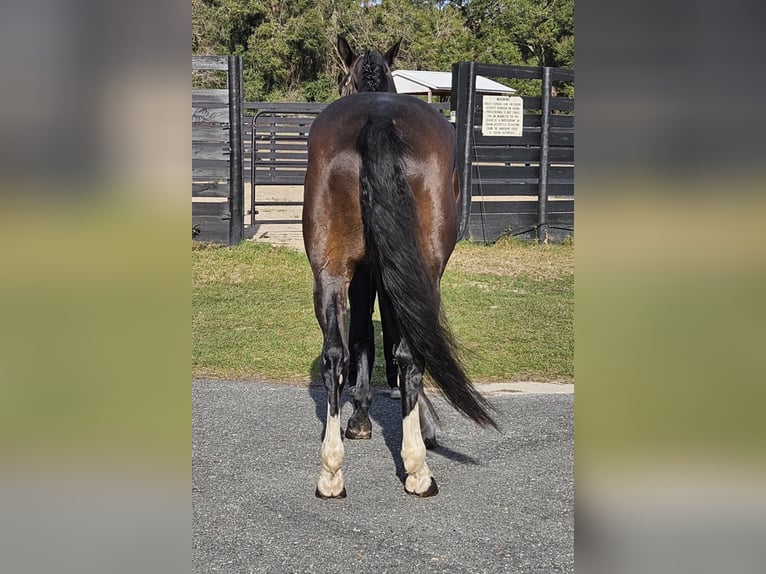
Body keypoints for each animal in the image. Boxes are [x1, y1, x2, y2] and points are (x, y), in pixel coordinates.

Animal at [303, 36, 497, 499]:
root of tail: (378, 117)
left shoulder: (365, 274)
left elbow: (360, 340)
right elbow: (390, 338)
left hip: (329, 271)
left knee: (334, 354)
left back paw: (331, 472)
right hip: (423, 269)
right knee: (411, 351)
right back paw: (417, 468)